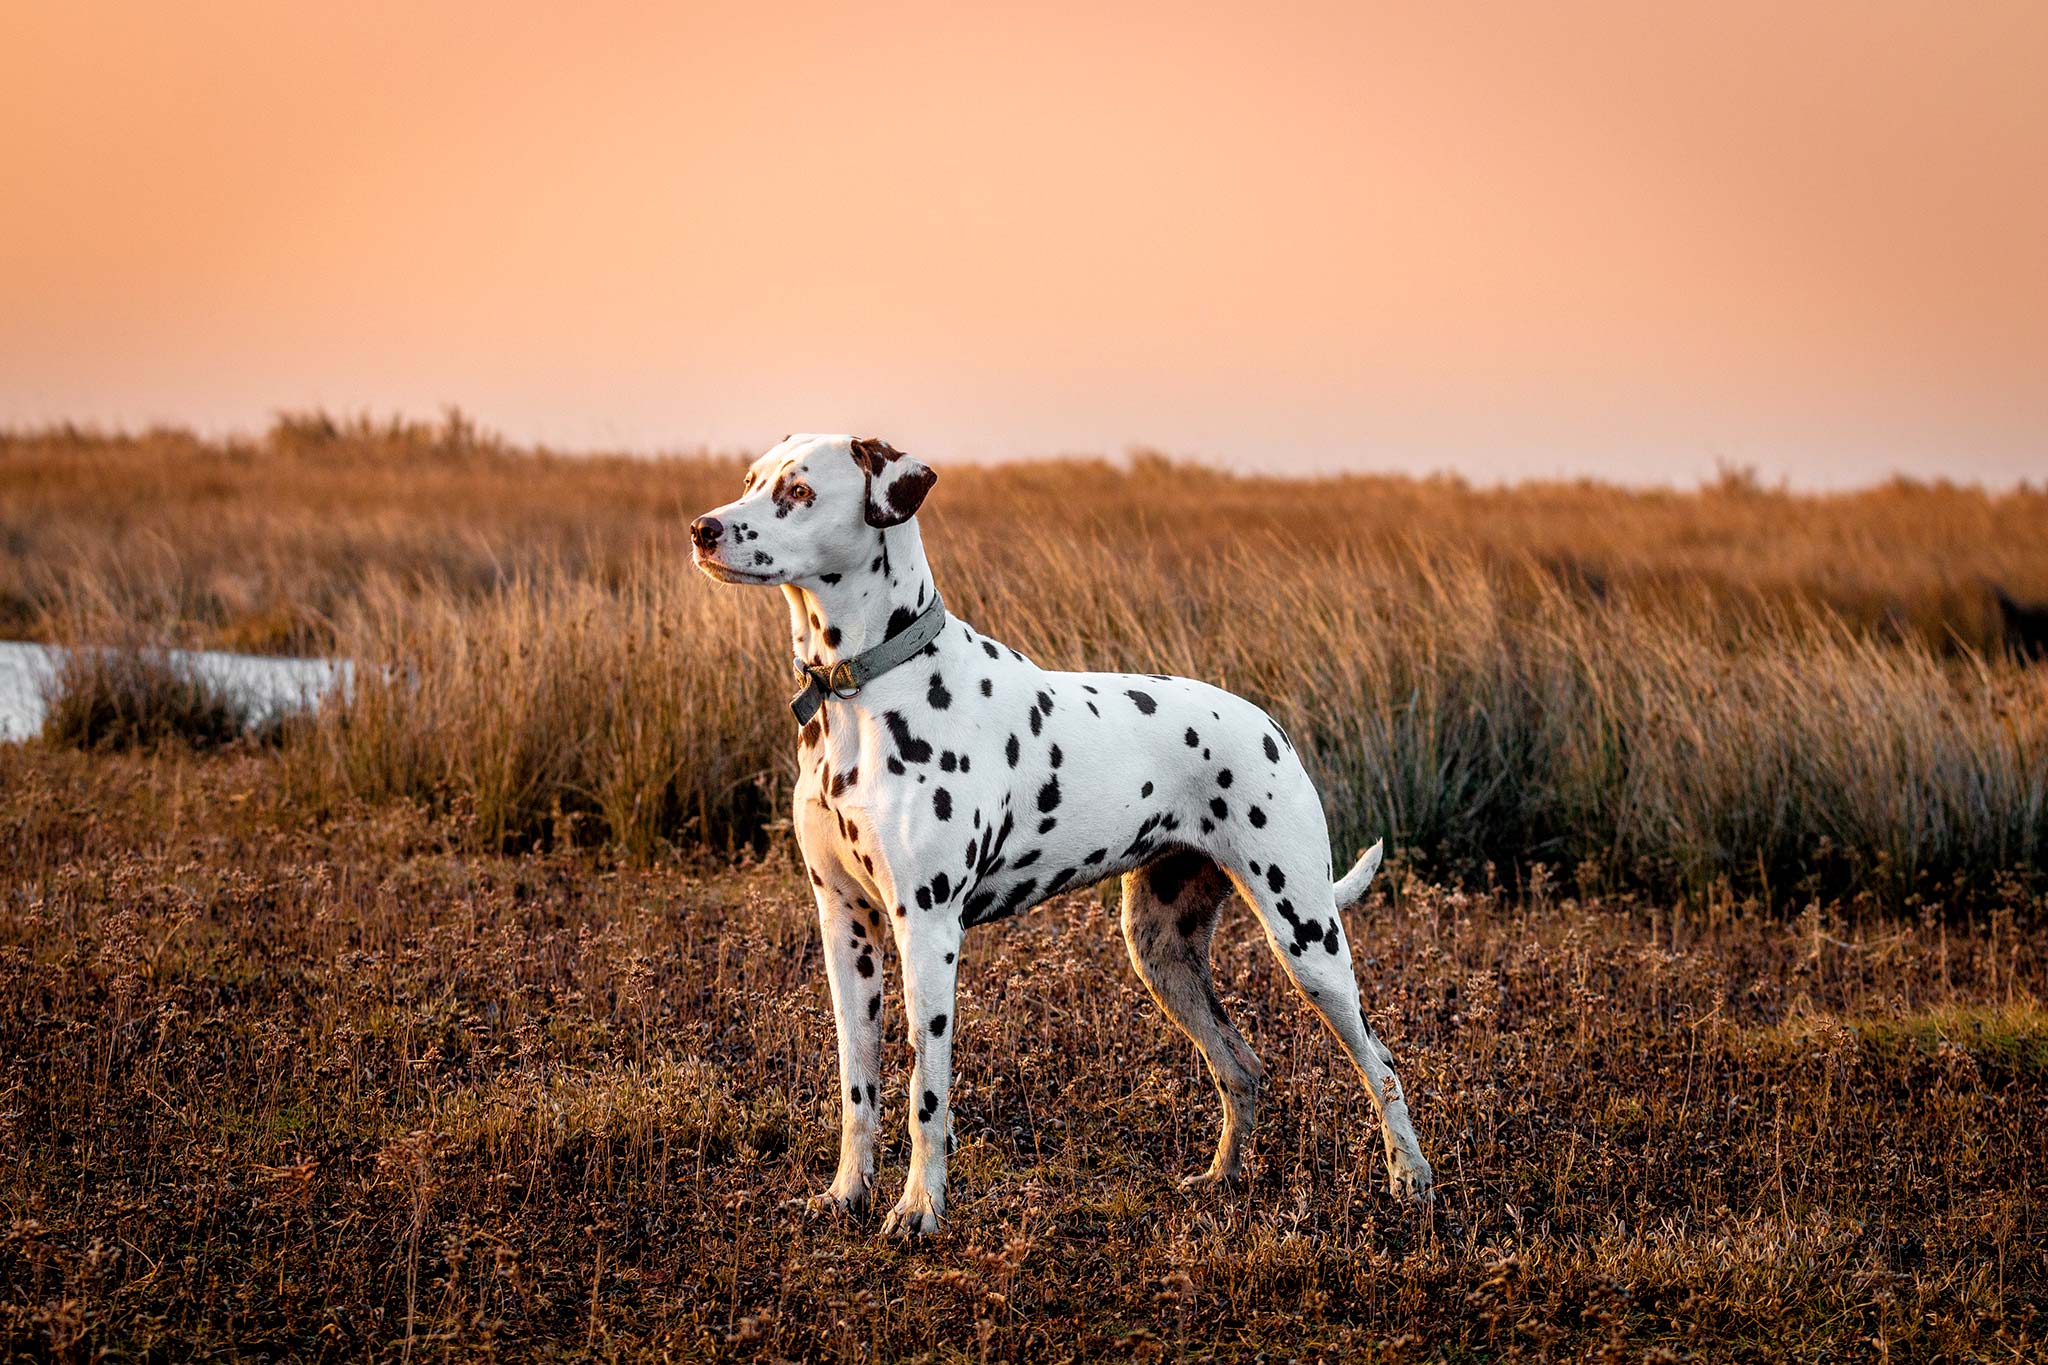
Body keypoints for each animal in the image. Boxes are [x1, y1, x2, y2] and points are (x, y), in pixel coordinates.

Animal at [696, 435, 1433, 1236]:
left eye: (798, 492)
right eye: (749, 480)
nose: (702, 528)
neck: (864, 689)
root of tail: (1271, 727)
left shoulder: (927, 928)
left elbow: (928, 1094)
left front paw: (920, 1209)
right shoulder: (845, 925)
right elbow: (857, 1086)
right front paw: (846, 1193)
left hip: (1306, 939)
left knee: (1382, 1063)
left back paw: (1411, 1179)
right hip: (1161, 952)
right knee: (1241, 1067)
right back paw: (1221, 1180)